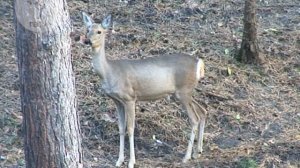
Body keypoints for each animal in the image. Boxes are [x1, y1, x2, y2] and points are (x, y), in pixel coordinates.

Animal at [81, 12, 207, 168]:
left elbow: (130, 129)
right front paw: (119, 160)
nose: (88, 40)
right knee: (203, 111)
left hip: (183, 92)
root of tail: (199, 62)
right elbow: (121, 128)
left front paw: (131, 162)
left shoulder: (129, 97)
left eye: (99, 31)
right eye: (87, 29)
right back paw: (197, 152)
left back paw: (186, 157)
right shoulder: (117, 101)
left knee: (194, 119)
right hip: (184, 92)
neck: (109, 72)